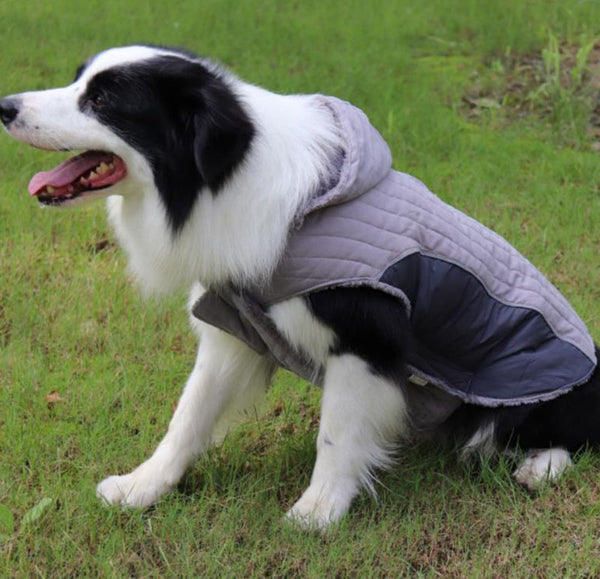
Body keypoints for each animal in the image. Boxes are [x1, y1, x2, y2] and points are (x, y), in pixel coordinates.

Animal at [1, 46, 600, 532]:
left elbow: (334, 432)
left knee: (569, 433)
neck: (220, 183)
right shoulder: (235, 328)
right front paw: (143, 486)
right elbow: (188, 414)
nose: (6, 106)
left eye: (102, 100)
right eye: (78, 81)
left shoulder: (364, 337)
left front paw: (319, 511)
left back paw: (541, 466)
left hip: (521, 398)